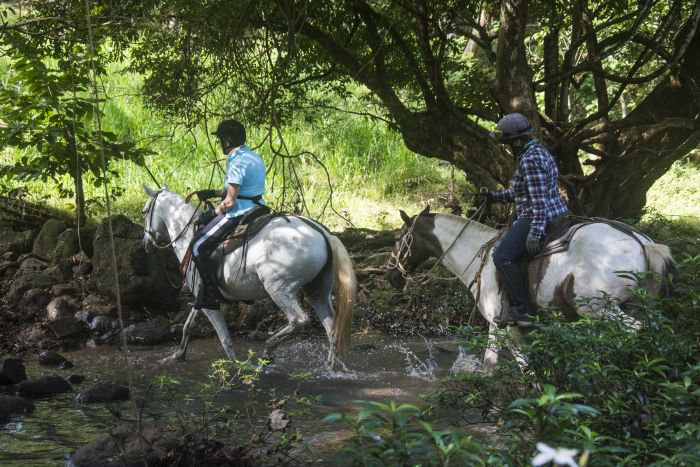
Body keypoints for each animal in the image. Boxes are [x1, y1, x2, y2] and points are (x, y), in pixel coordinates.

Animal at [140, 185, 356, 368]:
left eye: (145, 211)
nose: (145, 244)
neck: (189, 237)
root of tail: (323, 234)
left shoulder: (209, 302)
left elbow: (224, 338)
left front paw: (236, 366)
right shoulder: (201, 298)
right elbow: (188, 326)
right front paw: (178, 355)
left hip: (278, 288)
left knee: (299, 320)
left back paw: (269, 348)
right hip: (317, 291)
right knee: (332, 328)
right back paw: (330, 367)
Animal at [386, 207, 676, 372]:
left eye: (398, 238)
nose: (391, 275)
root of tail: (642, 242)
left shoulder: (500, 324)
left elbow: (507, 366)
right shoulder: (508, 328)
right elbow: (513, 366)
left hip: (598, 307)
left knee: (634, 331)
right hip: (640, 307)